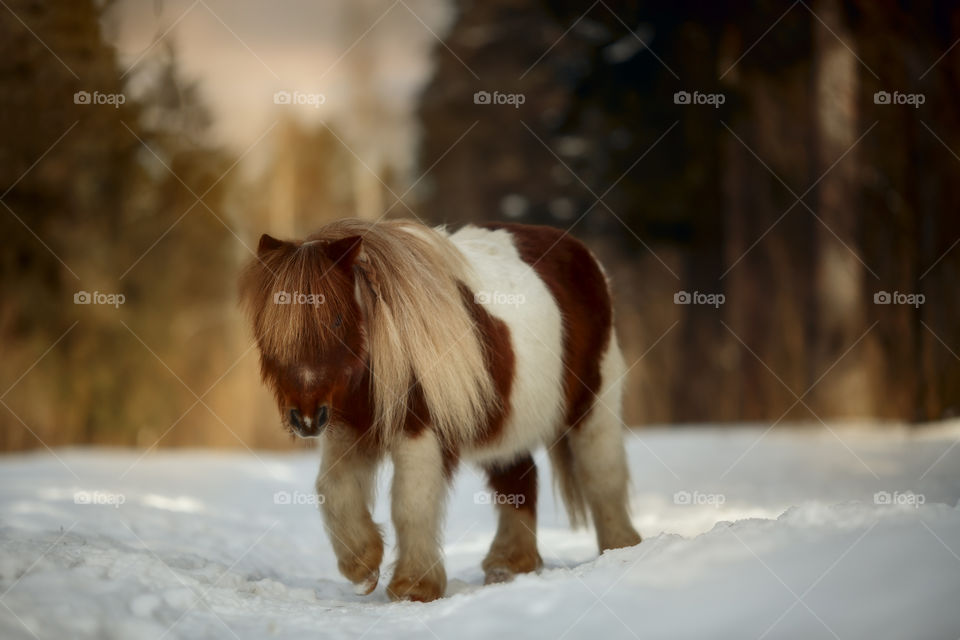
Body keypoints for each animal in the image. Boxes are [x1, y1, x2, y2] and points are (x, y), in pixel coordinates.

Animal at [237, 219, 640, 600]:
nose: (305, 419)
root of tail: (580, 250)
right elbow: (333, 489)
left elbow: (410, 502)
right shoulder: (347, 430)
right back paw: (508, 563)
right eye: (269, 326)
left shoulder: (419, 433)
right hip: (507, 426)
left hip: (594, 404)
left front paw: (414, 586)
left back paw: (620, 548)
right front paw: (363, 564)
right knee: (518, 480)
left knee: (602, 472)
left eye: (336, 320)